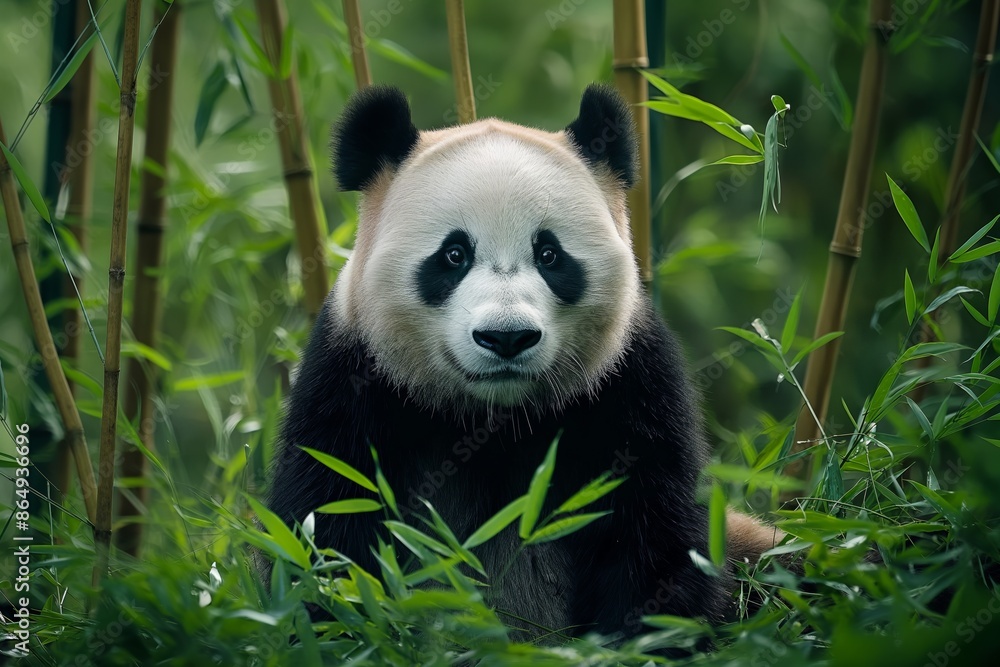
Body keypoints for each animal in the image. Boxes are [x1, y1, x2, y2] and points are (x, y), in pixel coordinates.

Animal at [267, 83, 782, 639]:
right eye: (453, 255)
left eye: (550, 254)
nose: (506, 337)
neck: (494, 418)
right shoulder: (352, 384)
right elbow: (328, 527)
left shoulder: (630, 384)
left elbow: (653, 538)